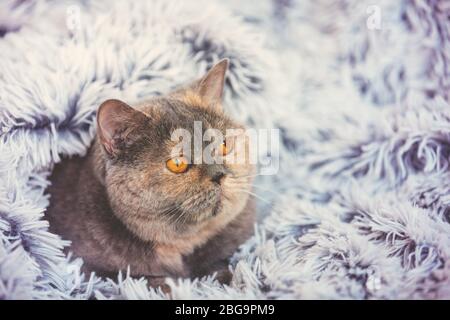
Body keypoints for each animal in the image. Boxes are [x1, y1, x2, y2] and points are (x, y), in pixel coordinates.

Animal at [46, 59, 256, 290]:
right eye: (177, 163)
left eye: (224, 145)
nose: (218, 174)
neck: (179, 248)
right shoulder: (88, 269)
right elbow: (140, 279)